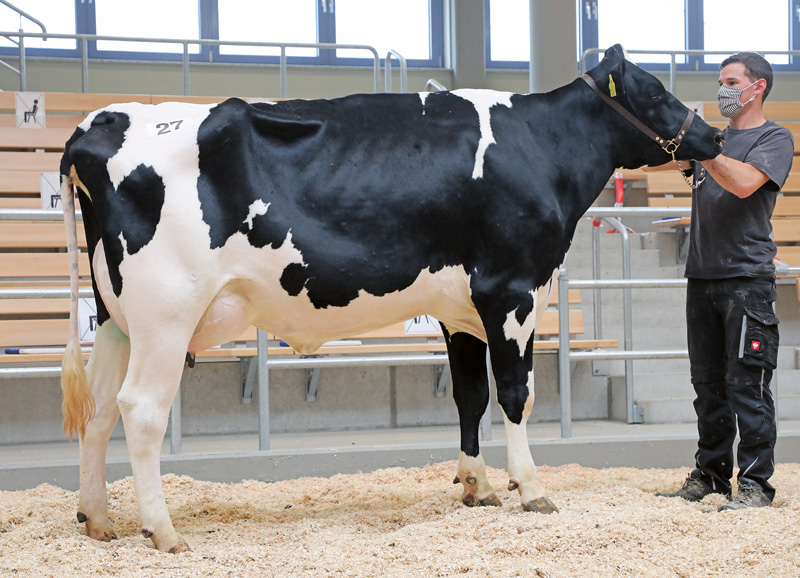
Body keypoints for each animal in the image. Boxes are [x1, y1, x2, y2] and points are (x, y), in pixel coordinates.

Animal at [61, 45, 724, 548]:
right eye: (655, 92)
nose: (715, 134)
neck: (538, 145)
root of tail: (99, 123)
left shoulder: (461, 307)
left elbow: (469, 396)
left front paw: (477, 487)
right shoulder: (511, 290)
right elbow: (516, 395)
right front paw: (531, 489)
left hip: (116, 316)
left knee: (99, 408)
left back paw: (98, 519)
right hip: (166, 313)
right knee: (141, 408)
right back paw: (163, 531)